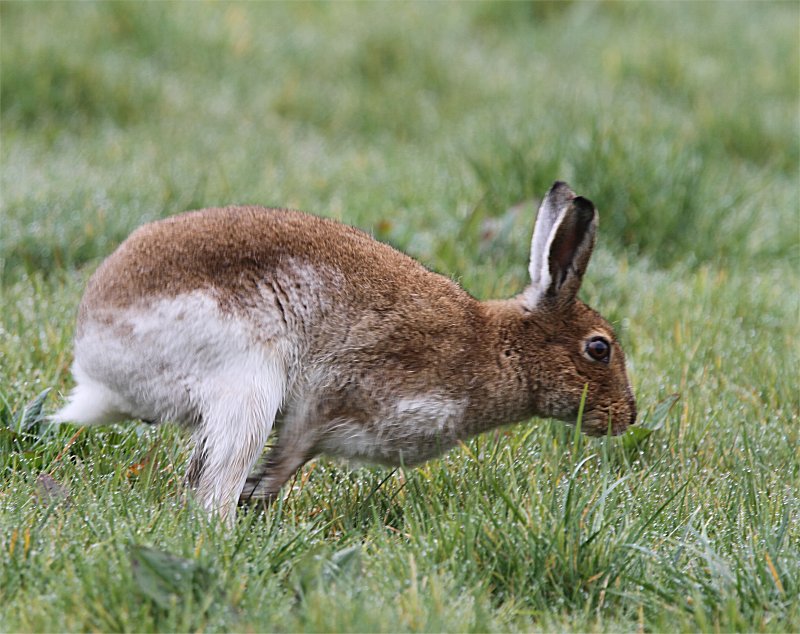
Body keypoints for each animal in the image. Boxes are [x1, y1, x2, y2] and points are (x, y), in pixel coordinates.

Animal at [53, 181, 636, 522]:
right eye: (599, 349)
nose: (628, 417)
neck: (498, 346)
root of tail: (95, 355)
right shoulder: (336, 395)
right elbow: (292, 450)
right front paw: (259, 494)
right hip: (247, 384)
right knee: (210, 489)